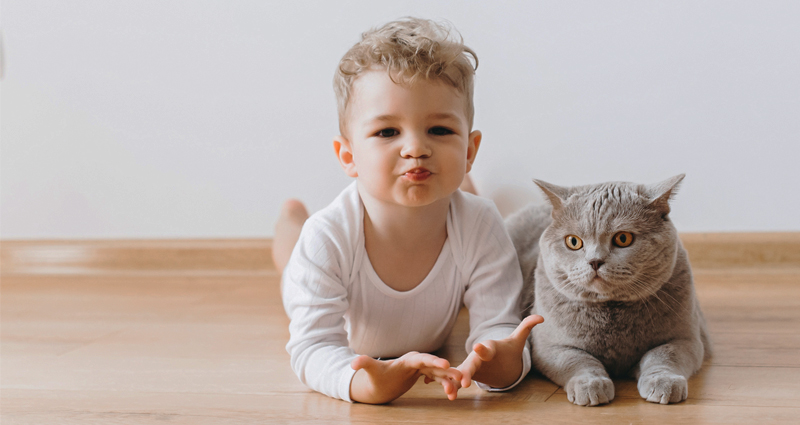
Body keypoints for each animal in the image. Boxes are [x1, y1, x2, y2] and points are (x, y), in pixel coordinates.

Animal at [510, 175, 708, 404]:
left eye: (623, 238)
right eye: (573, 242)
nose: (595, 261)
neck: (610, 311)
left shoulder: (687, 339)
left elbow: (664, 355)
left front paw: (664, 383)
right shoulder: (548, 346)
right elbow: (578, 359)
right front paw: (590, 386)